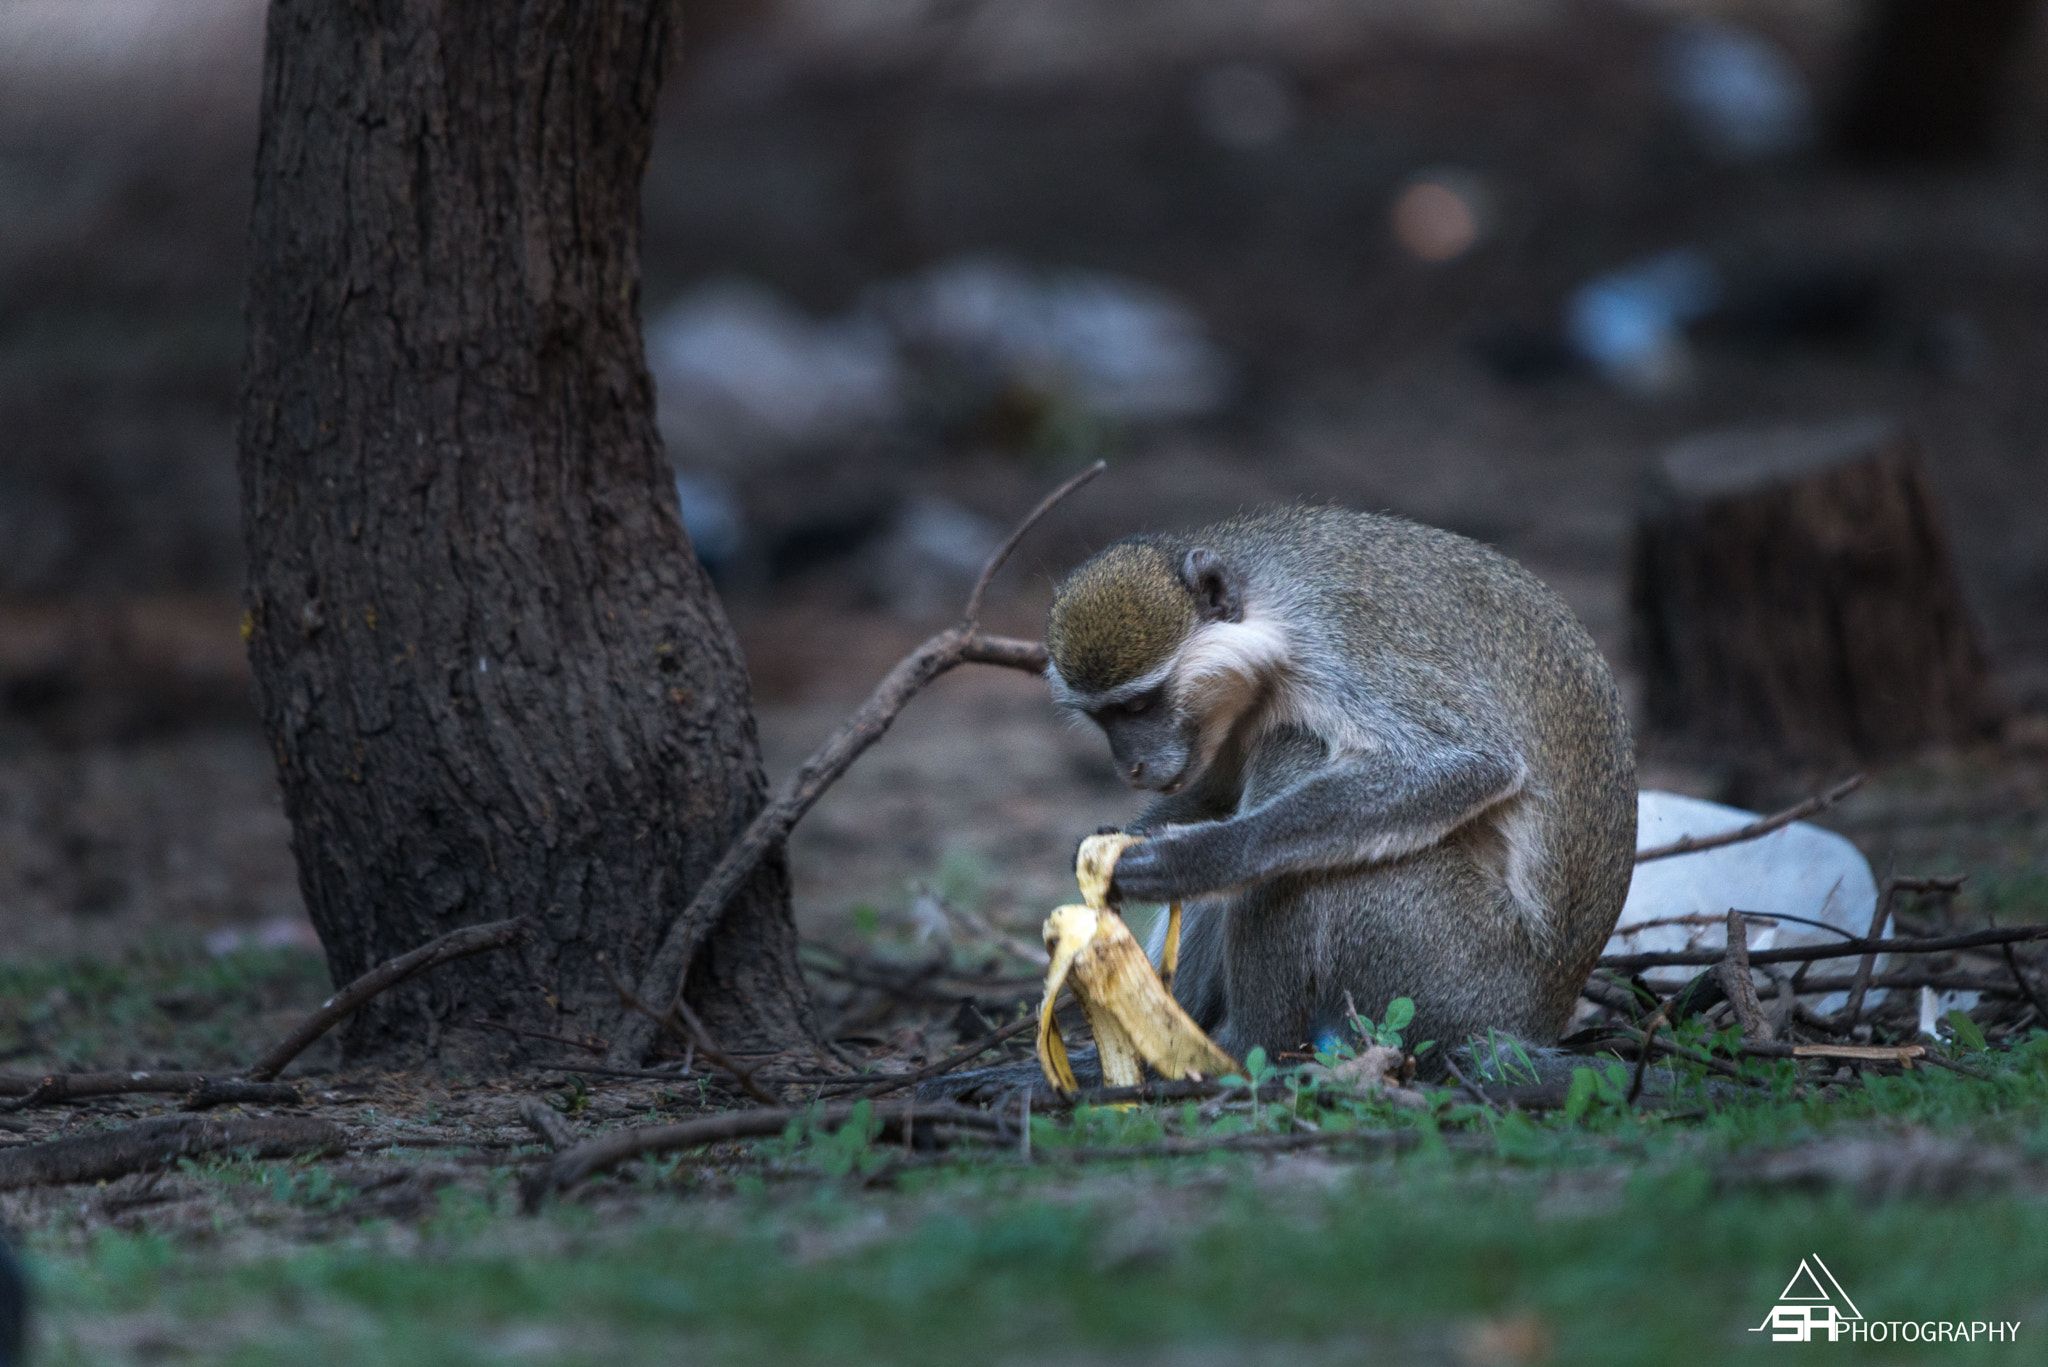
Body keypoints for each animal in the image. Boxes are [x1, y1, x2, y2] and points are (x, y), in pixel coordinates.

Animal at [1048, 502, 1638, 1065]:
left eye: (1139, 706)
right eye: (1104, 718)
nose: (1131, 767)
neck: (1269, 621)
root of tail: (1543, 1016)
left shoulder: (1342, 648)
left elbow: (1468, 761)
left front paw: (1198, 858)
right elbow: (1217, 792)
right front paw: (1108, 842)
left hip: (1457, 976)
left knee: (1295, 767)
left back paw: (1248, 1046)